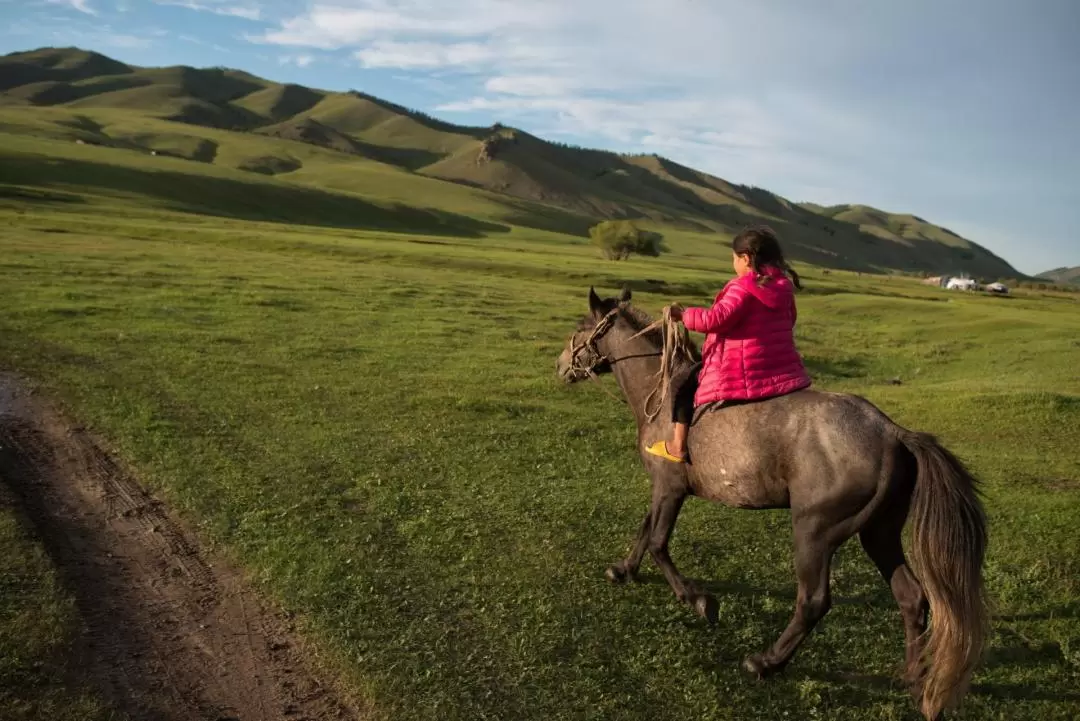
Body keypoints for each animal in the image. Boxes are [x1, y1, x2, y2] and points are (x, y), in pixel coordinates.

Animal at [557, 289, 989, 721]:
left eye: (579, 328)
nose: (559, 366)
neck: (661, 394)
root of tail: (894, 433)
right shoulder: (664, 488)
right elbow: (645, 530)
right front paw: (623, 570)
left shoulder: (669, 488)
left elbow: (659, 544)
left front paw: (699, 601)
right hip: (878, 533)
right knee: (911, 598)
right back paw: (913, 679)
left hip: (814, 533)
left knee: (814, 601)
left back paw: (766, 662)